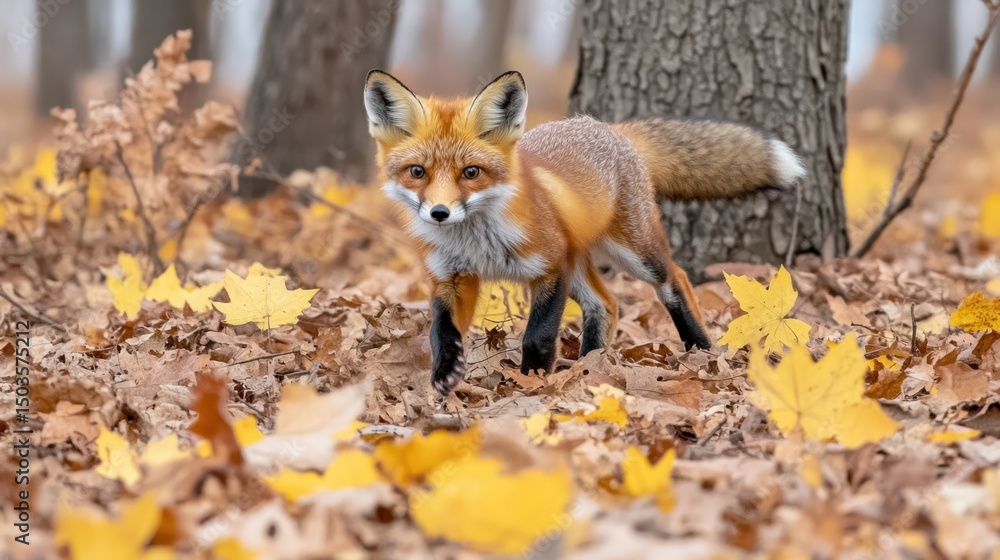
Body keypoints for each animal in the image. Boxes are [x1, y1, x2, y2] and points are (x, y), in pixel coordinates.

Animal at [363, 70, 806, 395]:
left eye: (471, 173)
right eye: (417, 172)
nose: (439, 213)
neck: (478, 242)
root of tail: (609, 128)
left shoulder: (549, 268)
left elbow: (537, 336)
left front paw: (533, 382)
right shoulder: (453, 276)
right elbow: (440, 330)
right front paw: (446, 371)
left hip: (634, 253)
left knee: (675, 279)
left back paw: (699, 348)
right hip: (581, 266)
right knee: (606, 304)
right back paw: (592, 364)